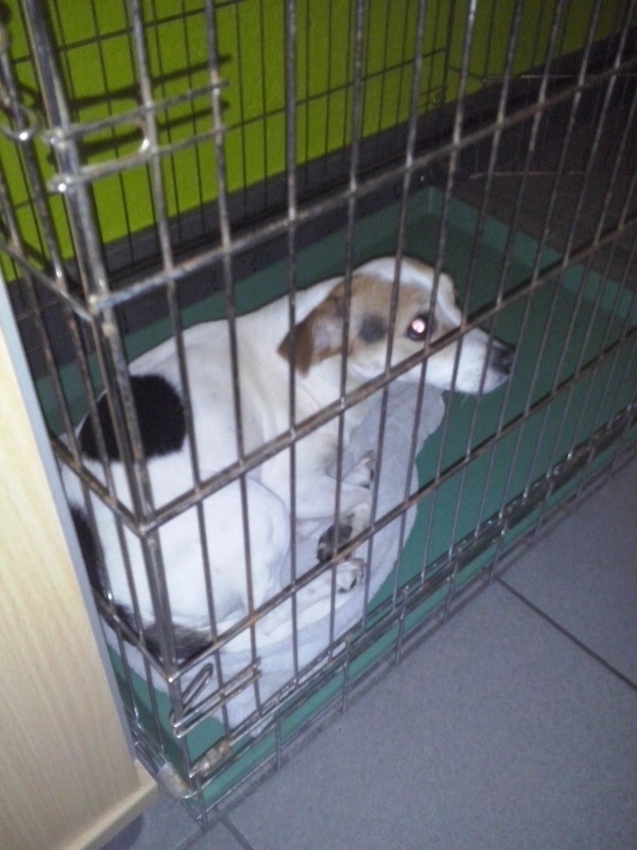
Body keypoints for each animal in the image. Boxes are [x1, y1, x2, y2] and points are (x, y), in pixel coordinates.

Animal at [64, 256, 514, 660]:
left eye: (456, 298)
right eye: (419, 327)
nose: (506, 357)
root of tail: (119, 605)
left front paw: (347, 495)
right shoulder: (289, 482)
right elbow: (362, 501)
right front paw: (349, 523)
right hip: (259, 509)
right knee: (262, 617)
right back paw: (335, 580)